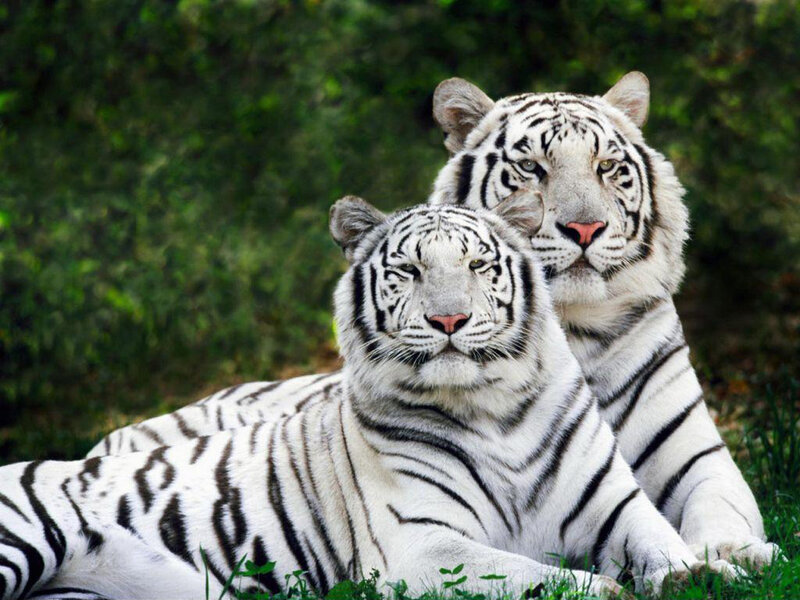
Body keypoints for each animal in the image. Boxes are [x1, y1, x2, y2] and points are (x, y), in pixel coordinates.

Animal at [0, 198, 743, 600]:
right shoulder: (422, 545)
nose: (449, 321)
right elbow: (535, 575)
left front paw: (709, 574)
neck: (494, 410)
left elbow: (665, 543)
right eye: (409, 270)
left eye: (478, 265)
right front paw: (609, 587)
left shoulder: (616, 506)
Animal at [88, 72, 779, 567]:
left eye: (608, 167)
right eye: (531, 168)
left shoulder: (696, 455)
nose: (584, 228)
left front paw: (736, 552)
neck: (574, 329)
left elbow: (721, 506)